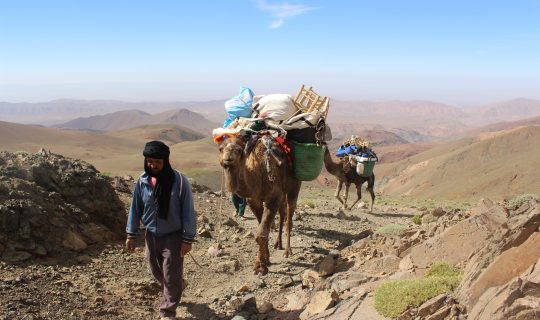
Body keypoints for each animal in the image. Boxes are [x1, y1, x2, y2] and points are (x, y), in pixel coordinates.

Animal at [218, 134, 302, 274]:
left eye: (240, 150)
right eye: (220, 148)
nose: (228, 157)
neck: (258, 175)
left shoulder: (274, 197)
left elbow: (262, 233)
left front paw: (261, 267)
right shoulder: (254, 200)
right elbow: (261, 230)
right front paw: (266, 259)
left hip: (293, 187)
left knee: (289, 218)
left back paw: (287, 251)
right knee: (282, 214)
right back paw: (278, 244)